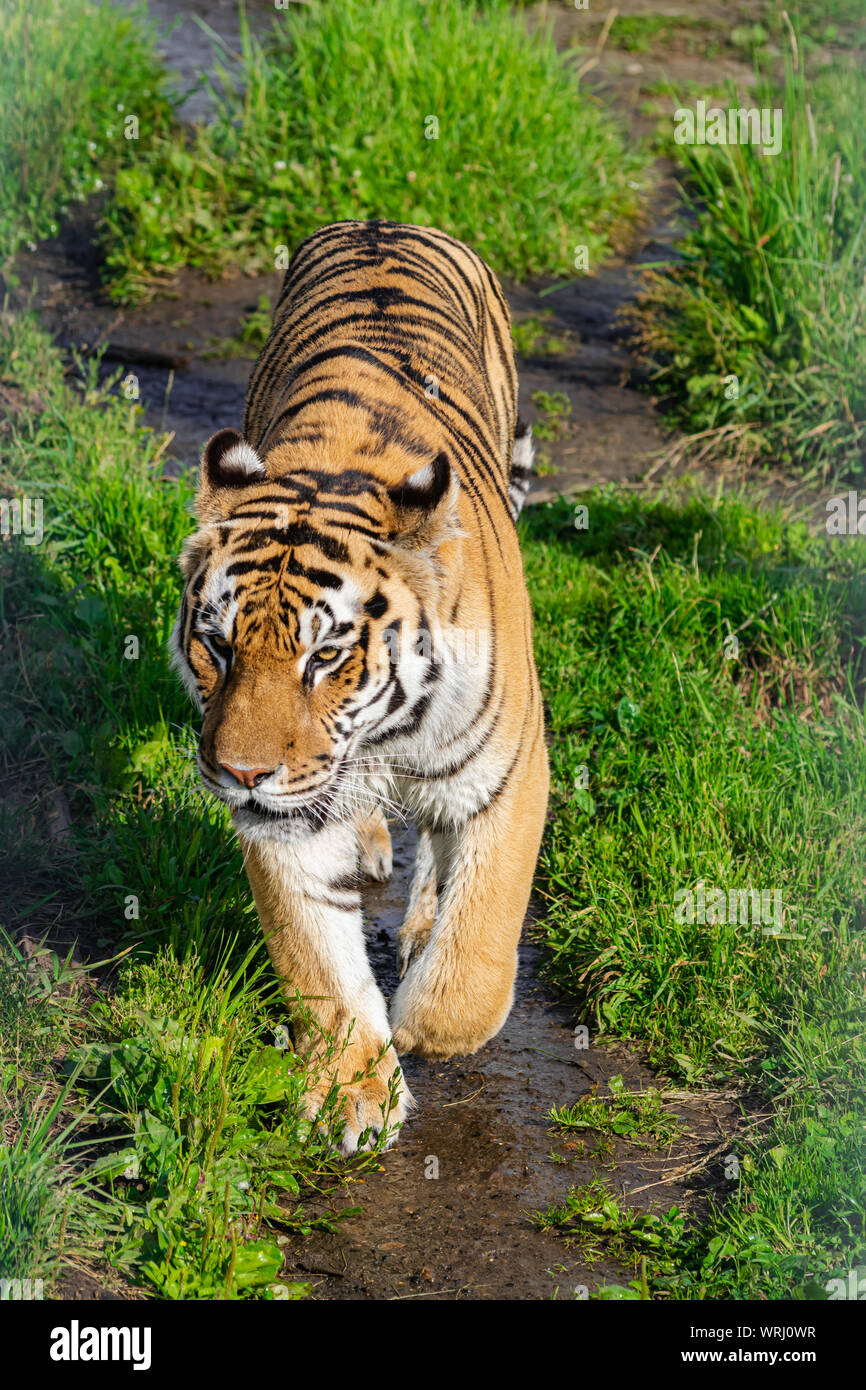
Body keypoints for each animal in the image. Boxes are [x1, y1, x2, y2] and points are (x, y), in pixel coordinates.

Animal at [171, 220, 549, 1155]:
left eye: (326, 655)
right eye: (218, 647)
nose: (240, 773)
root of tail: (388, 221)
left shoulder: (509, 770)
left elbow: (485, 919)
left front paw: (428, 1027)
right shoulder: (285, 821)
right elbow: (315, 957)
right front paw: (352, 1093)